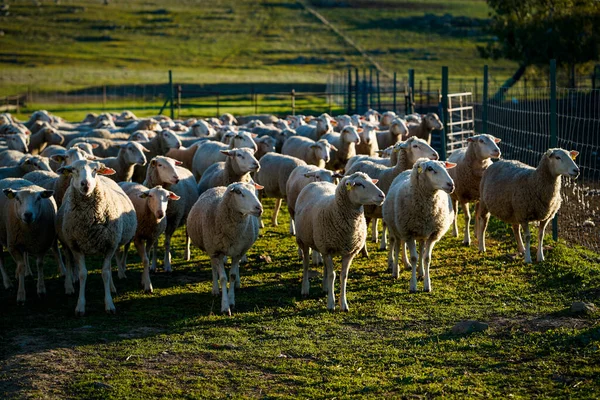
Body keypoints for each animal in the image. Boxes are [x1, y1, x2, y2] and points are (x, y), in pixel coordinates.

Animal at [55, 160, 137, 316]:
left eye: (95, 170)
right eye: (73, 169)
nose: (85, 184)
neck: (90, 221)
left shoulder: (110, 244)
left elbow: (105, 273)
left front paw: (109, 304)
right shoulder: (76, 246)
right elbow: (82, 274)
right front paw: (80, 306)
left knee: (109, 267)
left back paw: (111, 287)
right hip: (66, 243)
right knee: (68, 261)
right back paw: (69, 287)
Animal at [294, 173, 384, 310]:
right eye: (359, 184)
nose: (382, 196)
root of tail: (317, 183)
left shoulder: (348, 252)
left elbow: (343, 276)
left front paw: (344, 304)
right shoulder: (327, 249)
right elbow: (332, 275)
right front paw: (331, 304)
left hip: (322, 245)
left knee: (325, 267)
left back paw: (325, 287)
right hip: (303, 240)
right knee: (306, 264)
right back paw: (305, 289)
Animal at [384, 159, 454, 290]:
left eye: (445, 167)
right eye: (430, 169)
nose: (451, 185)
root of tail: (406, 170)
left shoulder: (432, 234)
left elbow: (426, 258)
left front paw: (427, 285)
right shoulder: (408, 232)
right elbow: (414, 258)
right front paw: (413, 285)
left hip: (421, 232)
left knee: (420, 249)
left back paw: (420, 272)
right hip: (396, 229)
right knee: (397, 246)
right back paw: (395, 271)